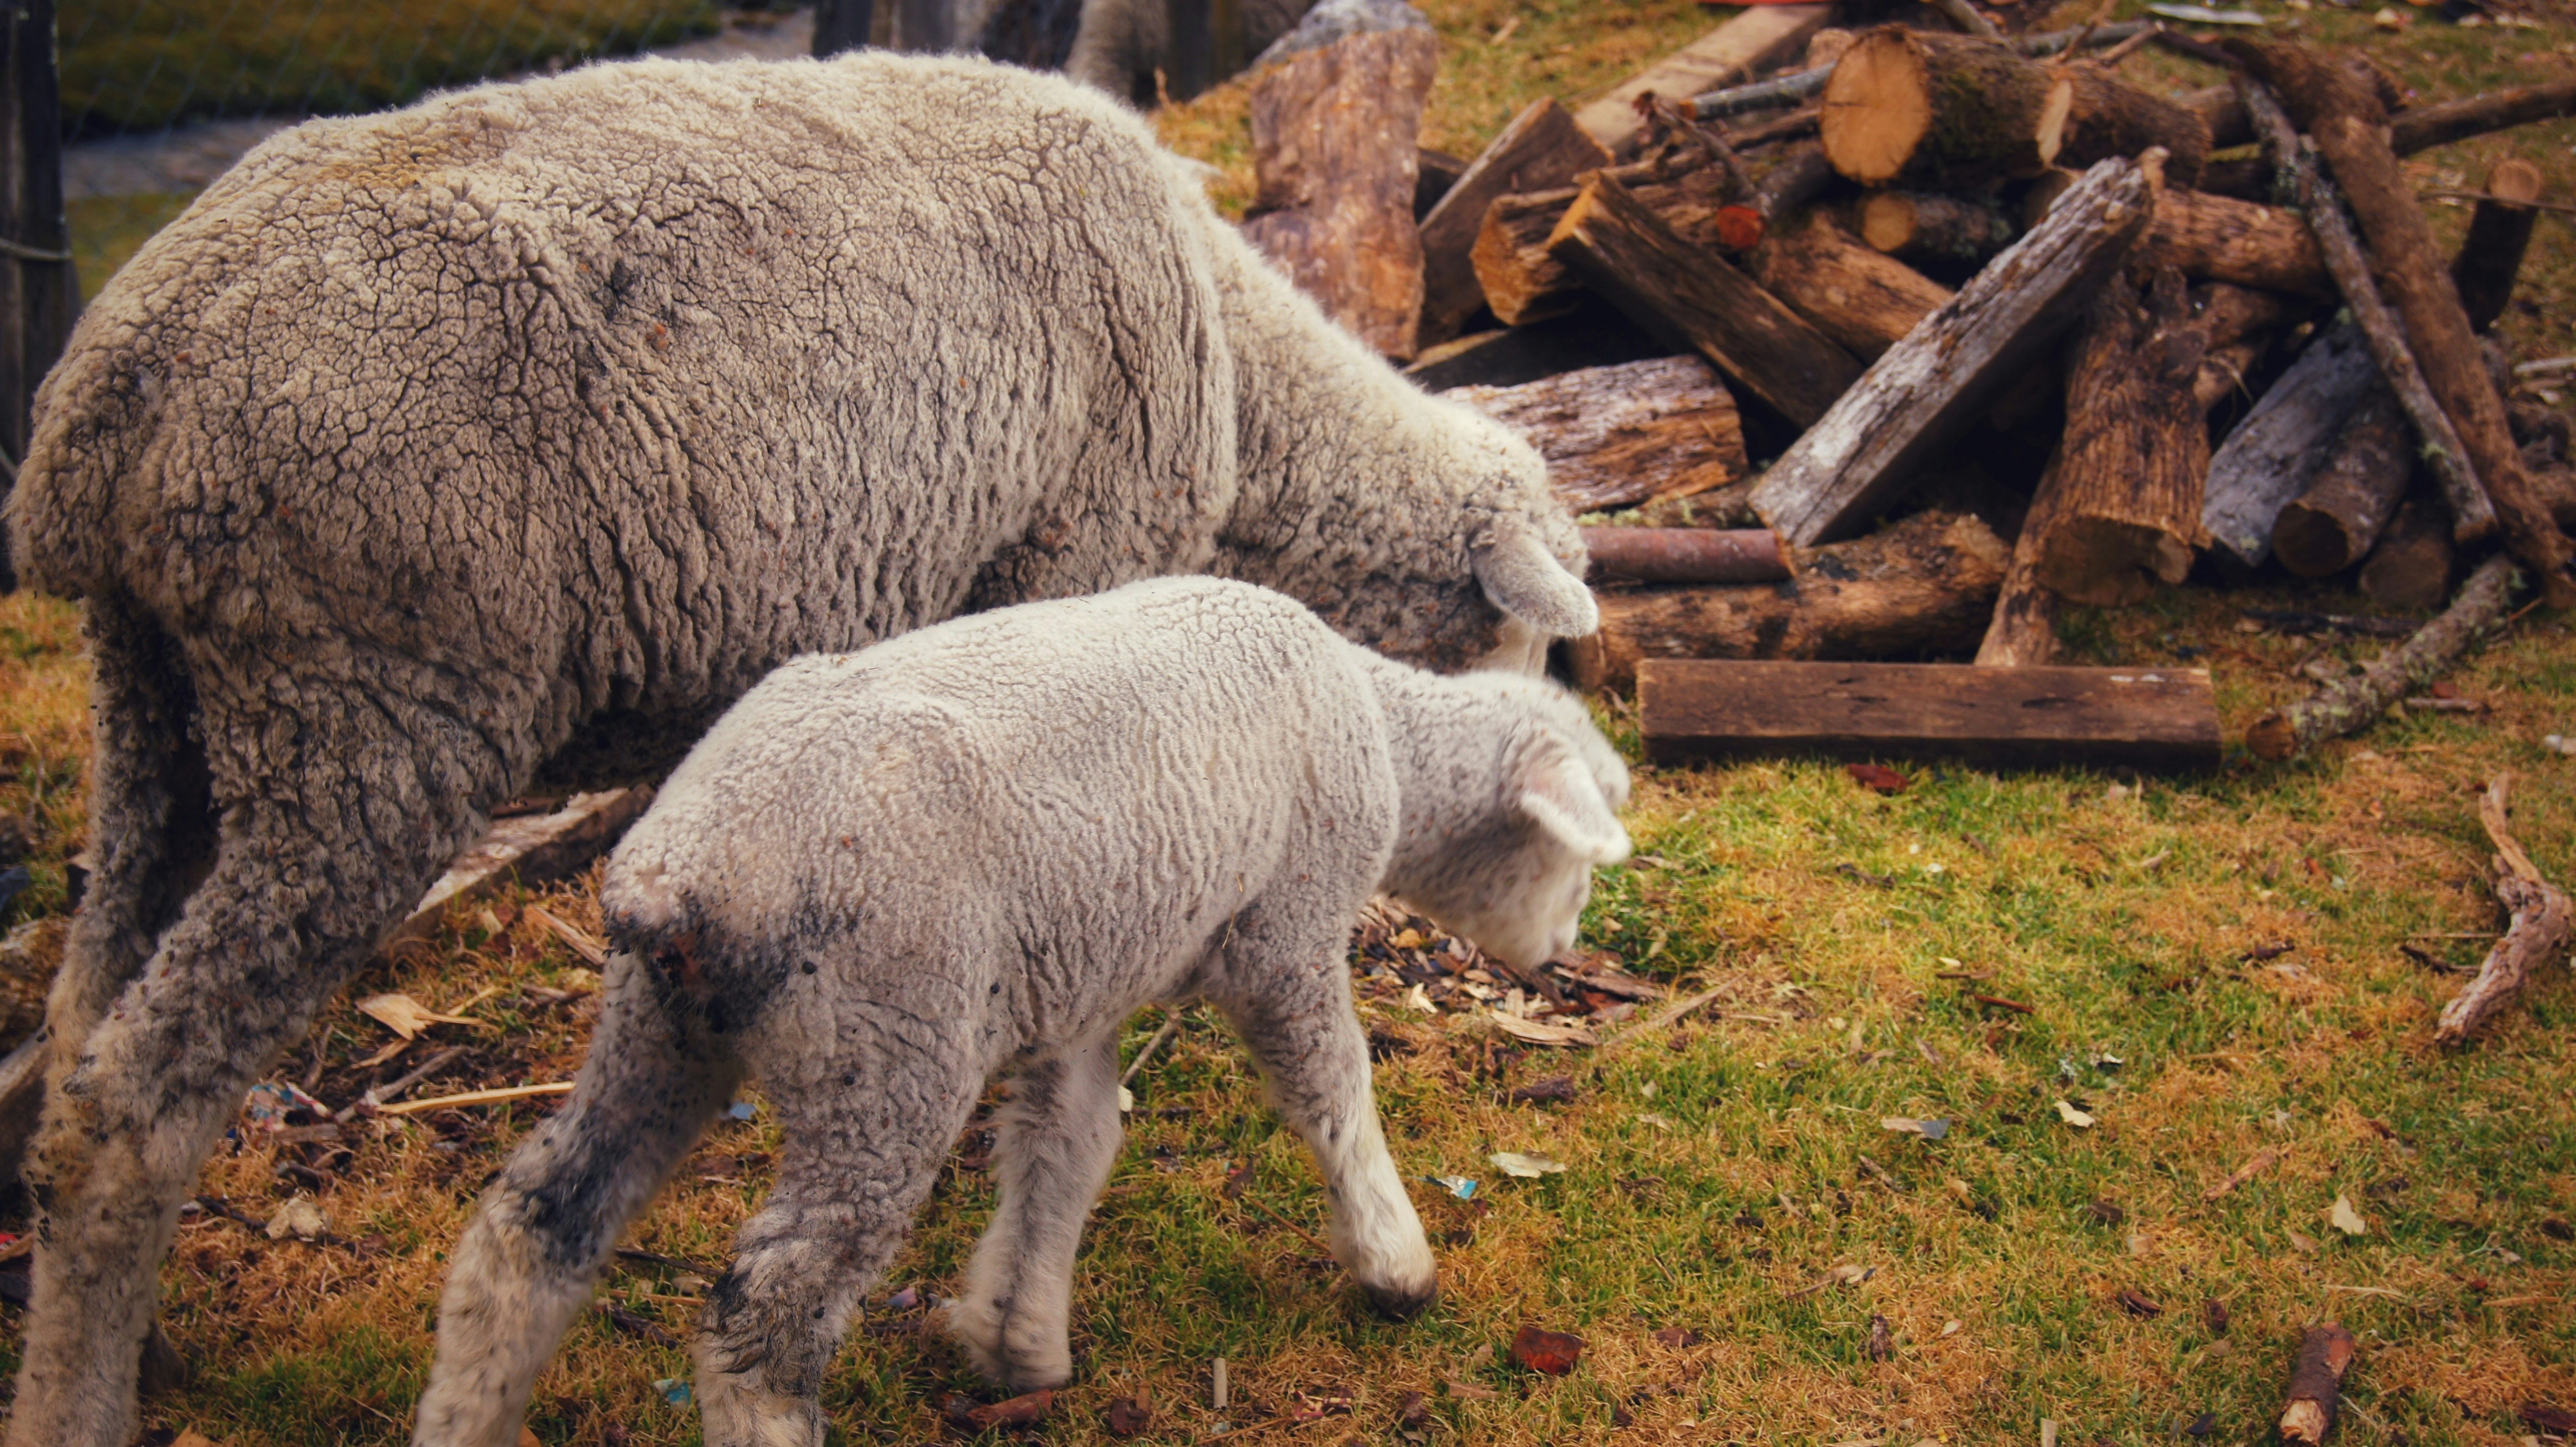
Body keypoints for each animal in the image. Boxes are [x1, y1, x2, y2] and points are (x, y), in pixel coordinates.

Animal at [408, 576, 1630, 1447]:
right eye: (1574, 850)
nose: (1561, 956)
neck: (1380, 723)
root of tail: (678, 878)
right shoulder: (1284, 934)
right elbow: (1332, 1091)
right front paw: (1394, 1266)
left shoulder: (1081, 986)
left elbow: (1066, 1149)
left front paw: (1017, 1345)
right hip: (882, 1054)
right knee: (762, 1324)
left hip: (656, 1032)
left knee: (532, 1230)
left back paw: (465, 1418)